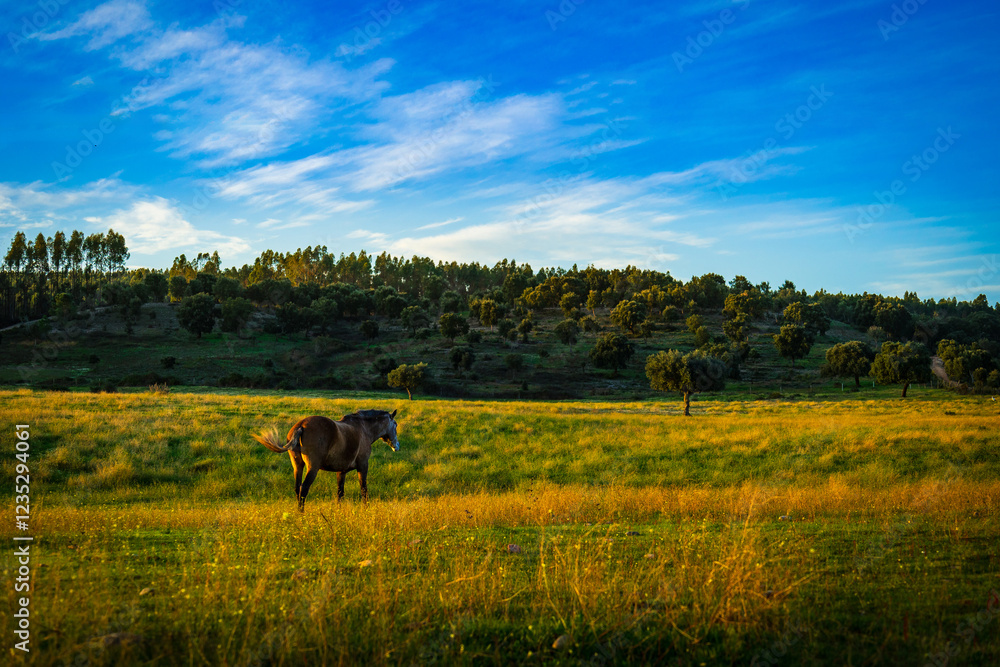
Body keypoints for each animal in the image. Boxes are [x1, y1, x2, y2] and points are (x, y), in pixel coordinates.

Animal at [253, 409, 399, 511]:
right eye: (395, 425)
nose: (396, 446)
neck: (363, 429)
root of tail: (301, 426)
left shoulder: (341, 471)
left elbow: (340, 493)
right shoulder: (363, 466)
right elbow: (364, 490)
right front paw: (366, 509)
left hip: (298, 466)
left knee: (297, 488)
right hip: (312, 468)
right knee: (303, 489)